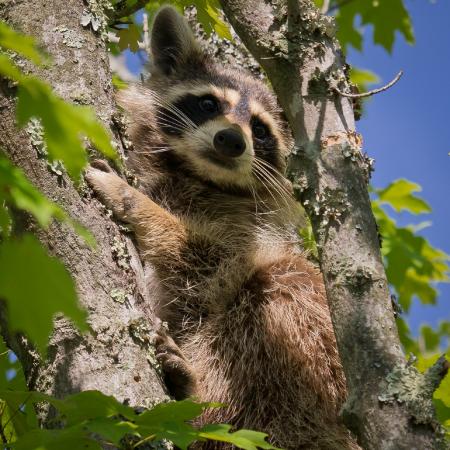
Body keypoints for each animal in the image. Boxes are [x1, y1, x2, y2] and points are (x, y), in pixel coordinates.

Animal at [85, 7, 358, 450]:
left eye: (260, 129)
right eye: (208, 103)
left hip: (326, 378)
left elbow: (208, 257)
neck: (198, 175)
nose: (231, 140)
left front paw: (138, 205)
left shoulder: (247, 234)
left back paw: (198, 394)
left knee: (281, 286)